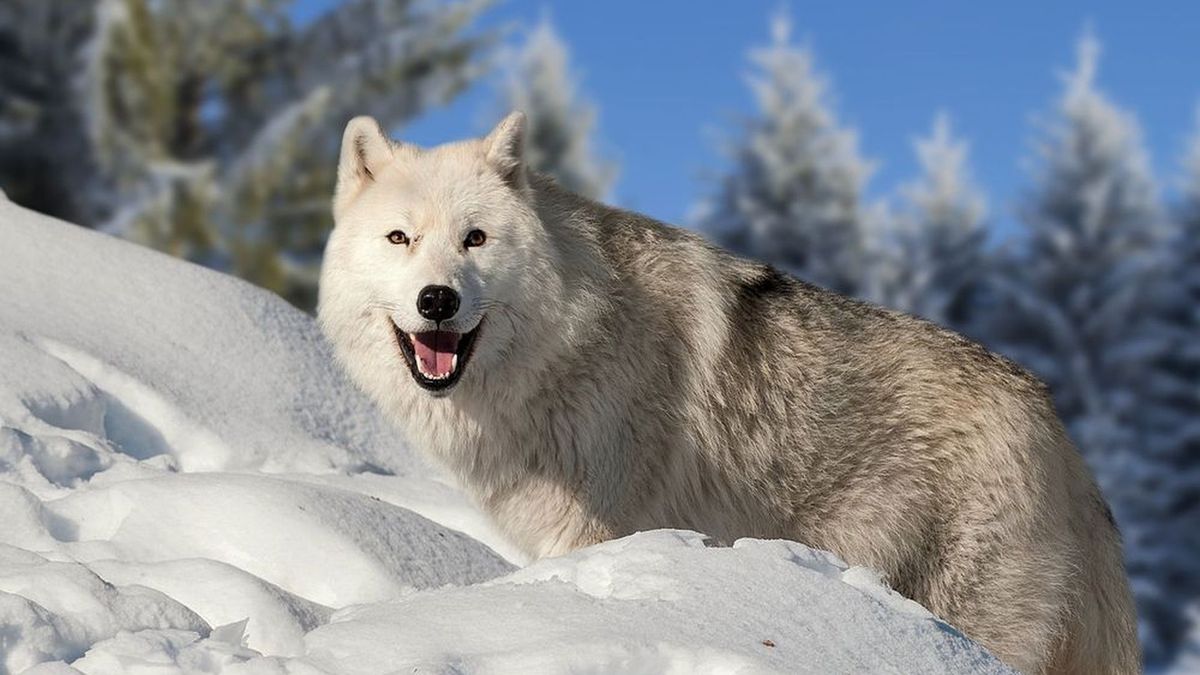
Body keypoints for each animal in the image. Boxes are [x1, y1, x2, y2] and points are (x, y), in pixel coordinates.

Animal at [318, 112, 1139, 674]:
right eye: (400, 239)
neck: (570, 339)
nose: (437, 301)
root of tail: (1056, 426)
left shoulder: (593, 534)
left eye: (476, 239)